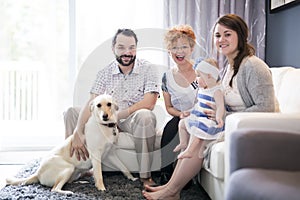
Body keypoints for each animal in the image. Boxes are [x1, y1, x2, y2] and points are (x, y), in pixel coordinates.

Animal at [5, 94, 137, 195]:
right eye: (98, 105)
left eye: (109, 104)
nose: (105, 116)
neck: (104, 126)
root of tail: (38, 173)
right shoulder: (96, 156)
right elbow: (99, 175)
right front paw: (101, 188)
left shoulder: (111, 154)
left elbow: (124, 167)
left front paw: (131, 177)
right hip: (68, 168)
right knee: (55, 189)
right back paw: (67, 192)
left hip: (74, 173)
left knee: (68, 182)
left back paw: (82, 182)